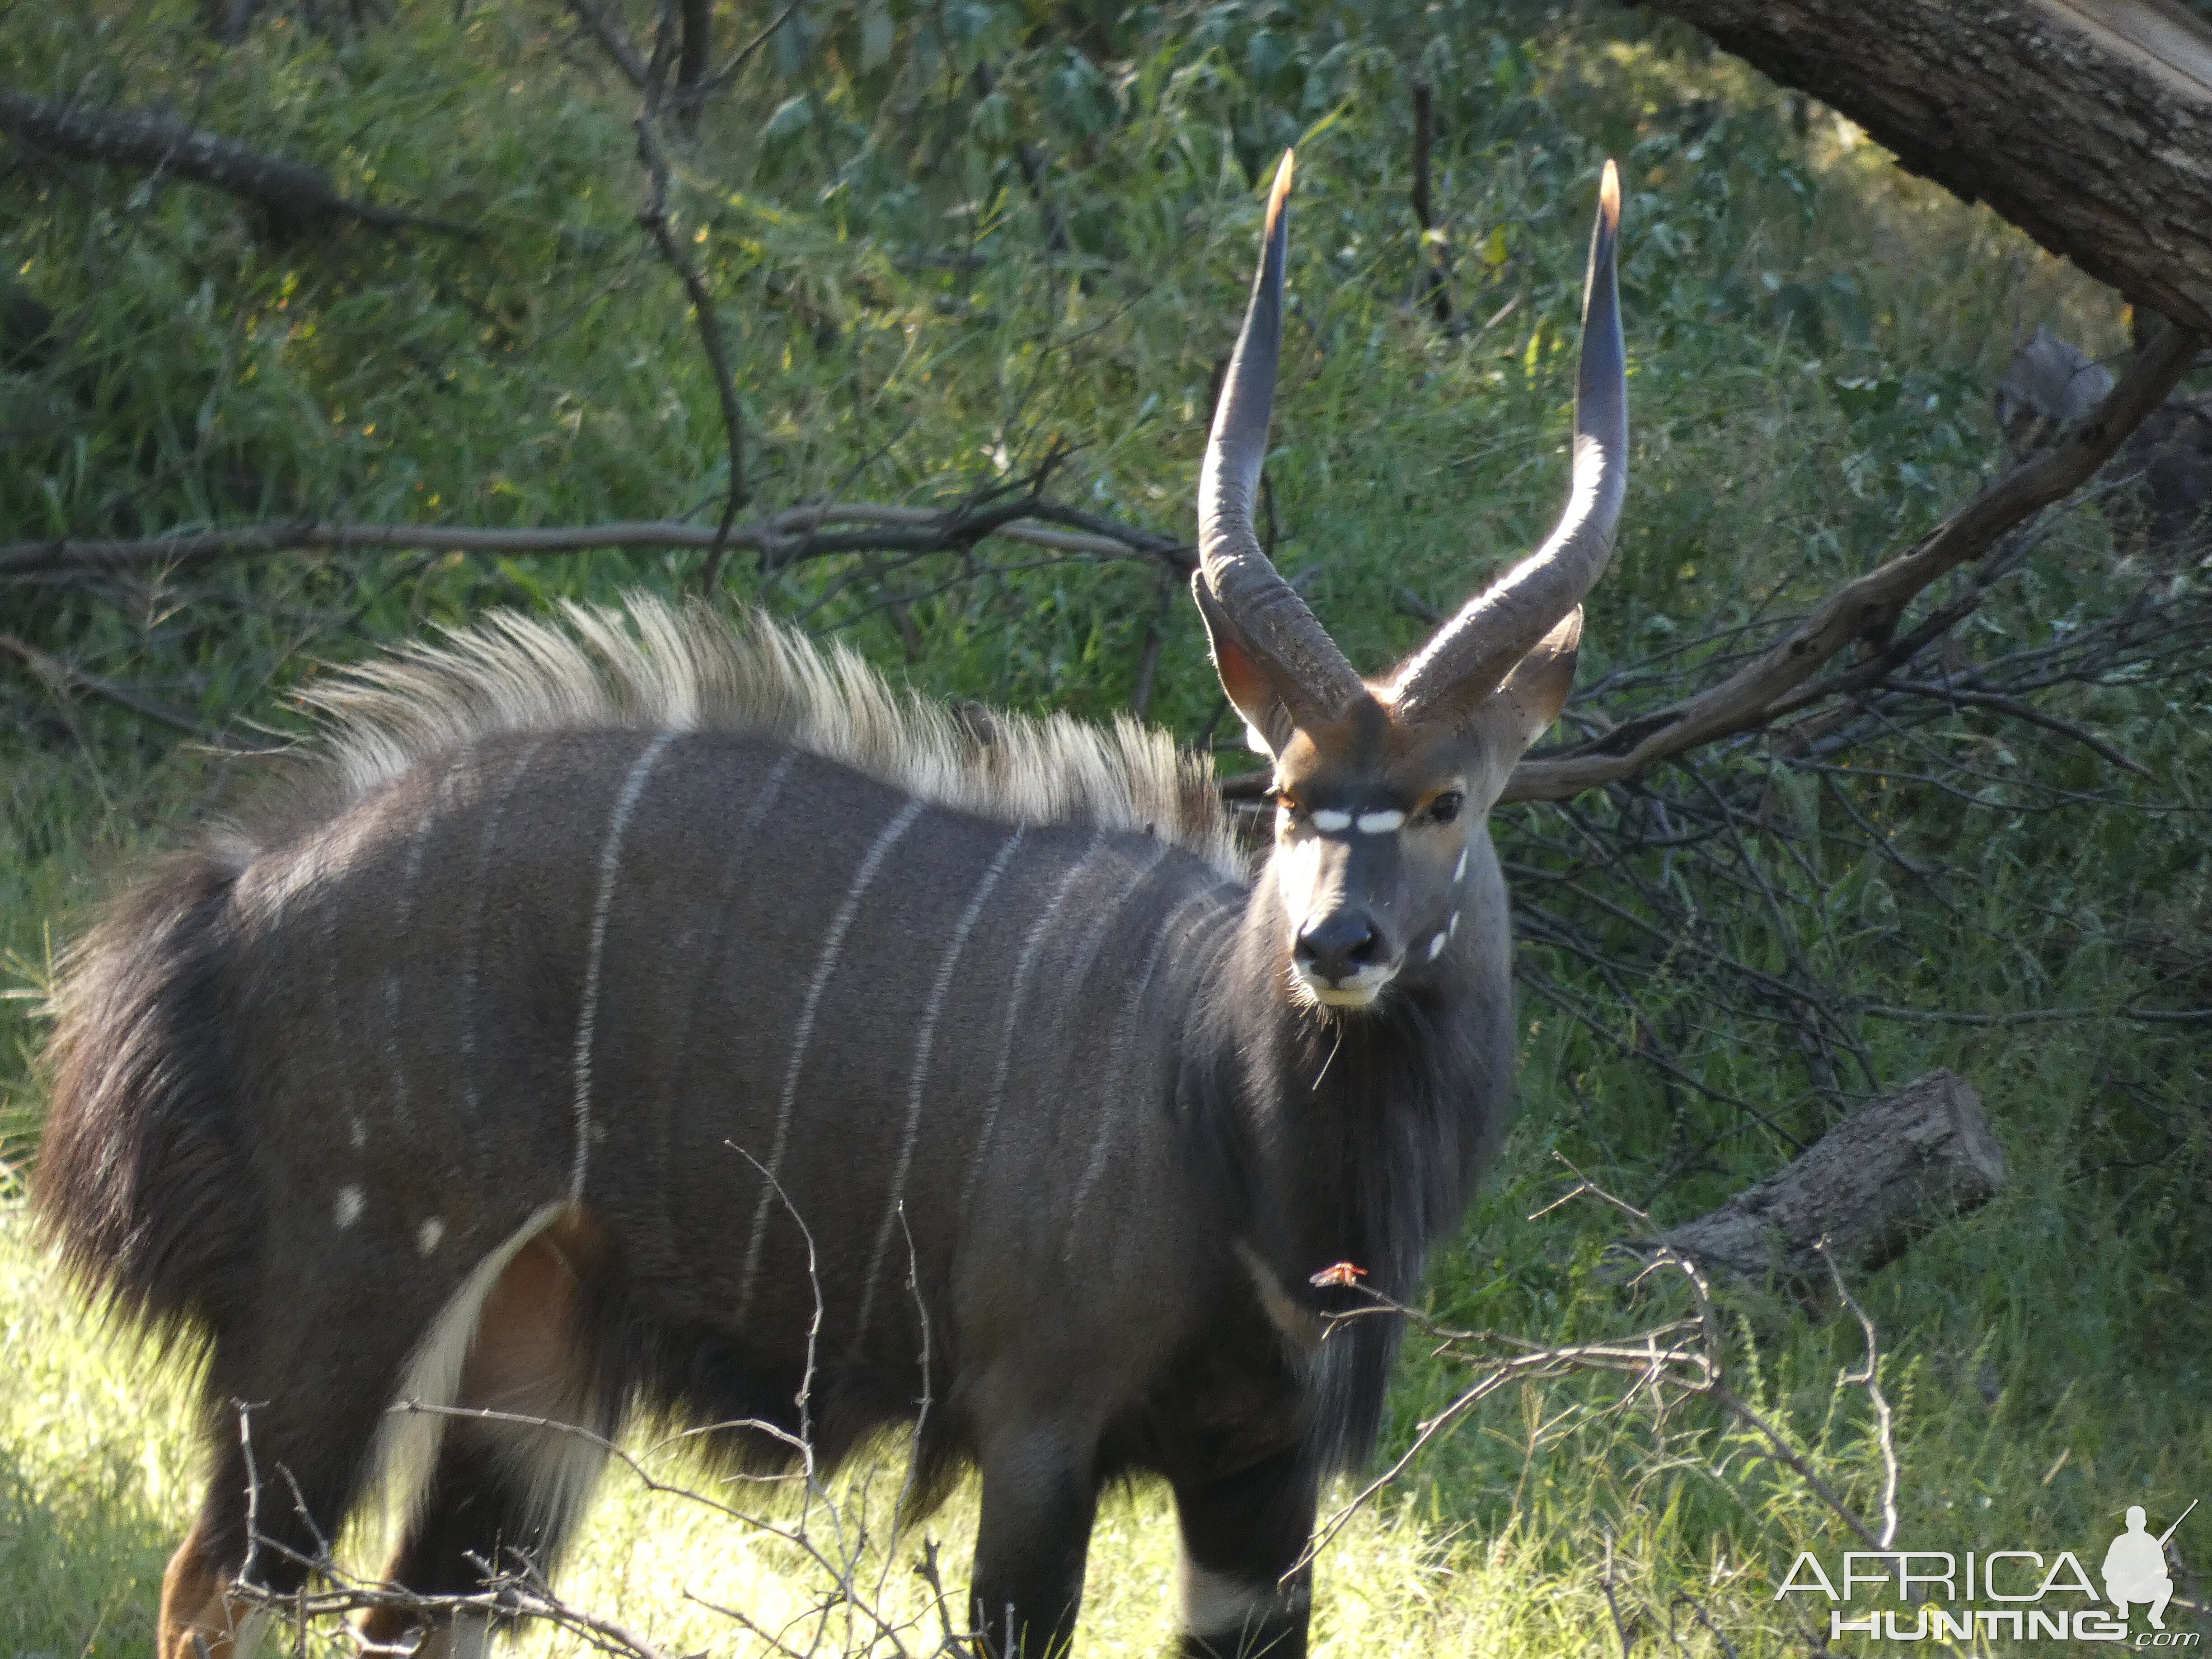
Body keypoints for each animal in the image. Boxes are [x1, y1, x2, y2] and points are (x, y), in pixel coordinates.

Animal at [34, 149, 1628, 1654]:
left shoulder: (1259, 1480)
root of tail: (235, 899)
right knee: (216, 1584)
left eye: (1445, 801)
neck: (1229, 1113)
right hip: (342, 1301)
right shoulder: (1035, 1430)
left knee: (414, 1610)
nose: (1333, 944)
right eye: (1291, 794)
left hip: (533, 1364)